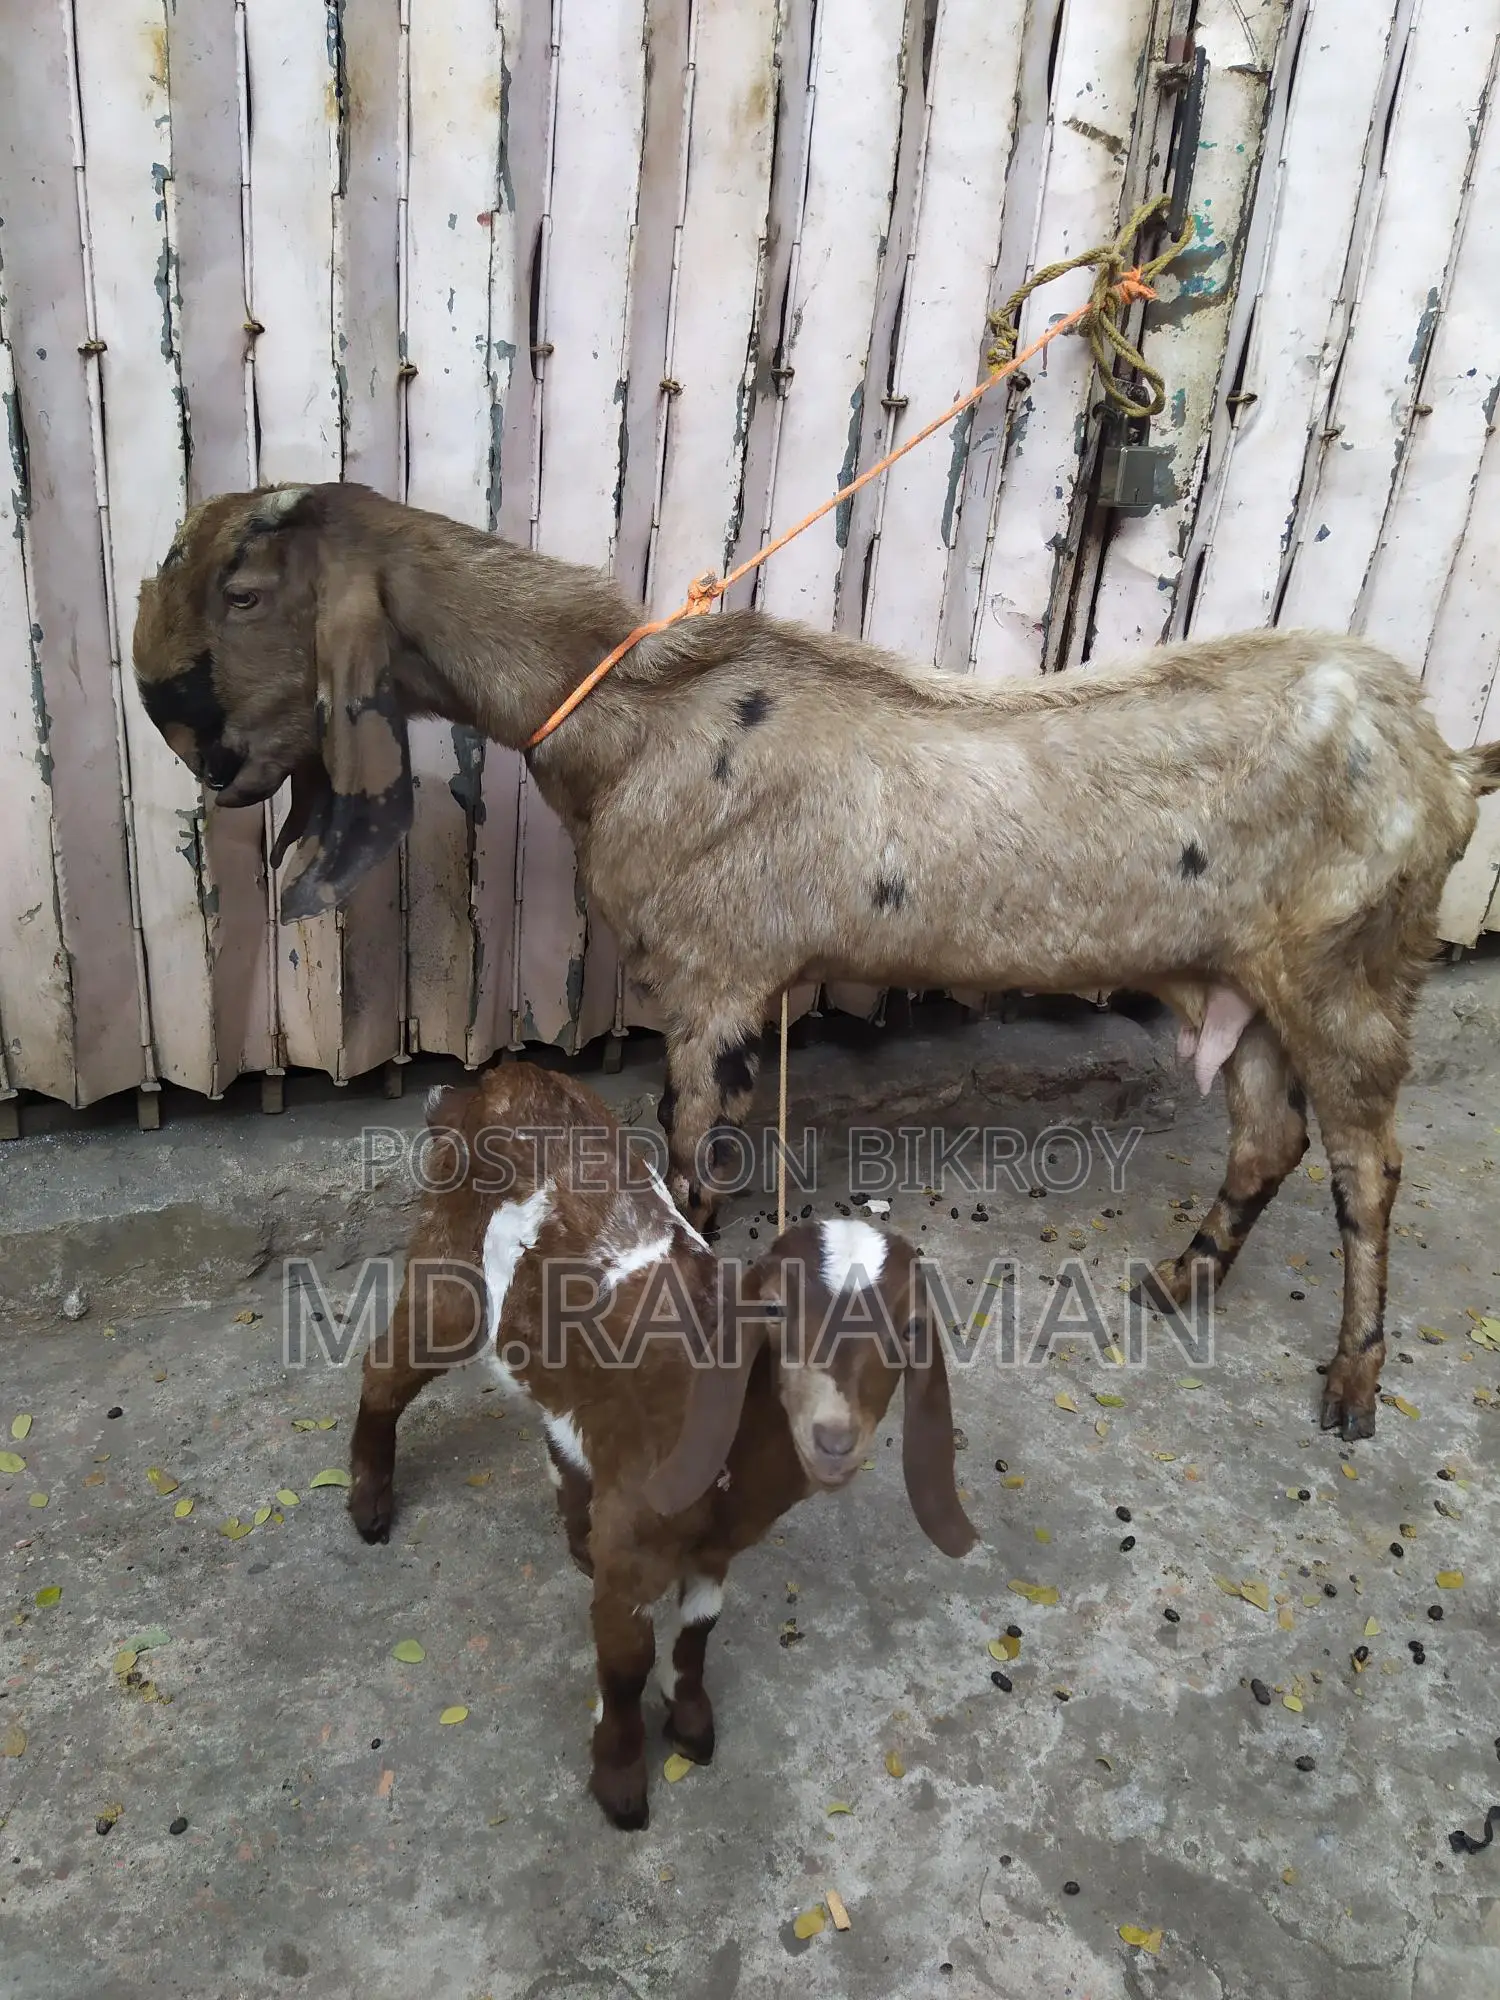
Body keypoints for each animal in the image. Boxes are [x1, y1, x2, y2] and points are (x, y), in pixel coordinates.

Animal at [133, 480, 1500, 1442]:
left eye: (245, 592)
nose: (168, 718)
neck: (632, 711)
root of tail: (1443, 755)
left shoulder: (716, 973)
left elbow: (690, 1153)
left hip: (1348, 969)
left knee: (1367, 1165)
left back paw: (1350, 1383)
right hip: (1251, 980)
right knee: (1269, 1133)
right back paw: (1180, 1280)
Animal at [348, 1061, 975, 1828]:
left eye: (909, 1330)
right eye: (777, 1314)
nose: (833, 1437)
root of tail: (492, 1080)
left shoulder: (713, 1549)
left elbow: (697, 1634)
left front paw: (691, 1723)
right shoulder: (636, 1545)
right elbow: (624, 1667)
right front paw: (619, 1783)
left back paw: (575, 1534)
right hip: (450, 1270)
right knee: (385, 1368)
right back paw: (369, 1505)